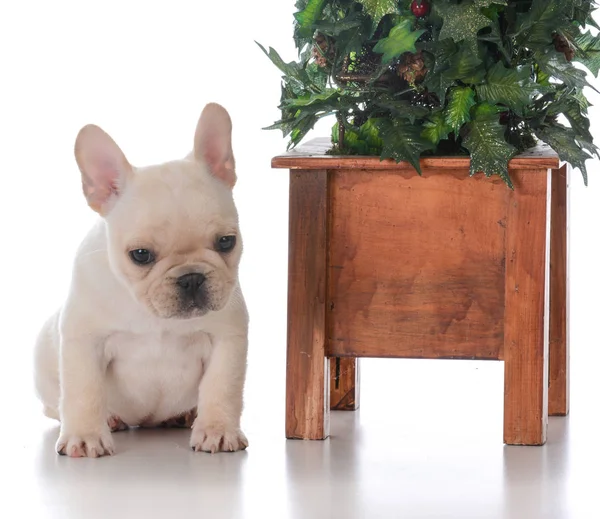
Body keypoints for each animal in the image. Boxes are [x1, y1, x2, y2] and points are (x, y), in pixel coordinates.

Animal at [33, 104, 248, 460]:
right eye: (141, 255)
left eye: (226, 242)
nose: (191, 278)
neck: (153, 314)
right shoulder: (85, 341)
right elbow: (83, 391)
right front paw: (85, 436)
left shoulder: (226, 339)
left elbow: (222, 388)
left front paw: (218, 430)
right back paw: (110, 418)